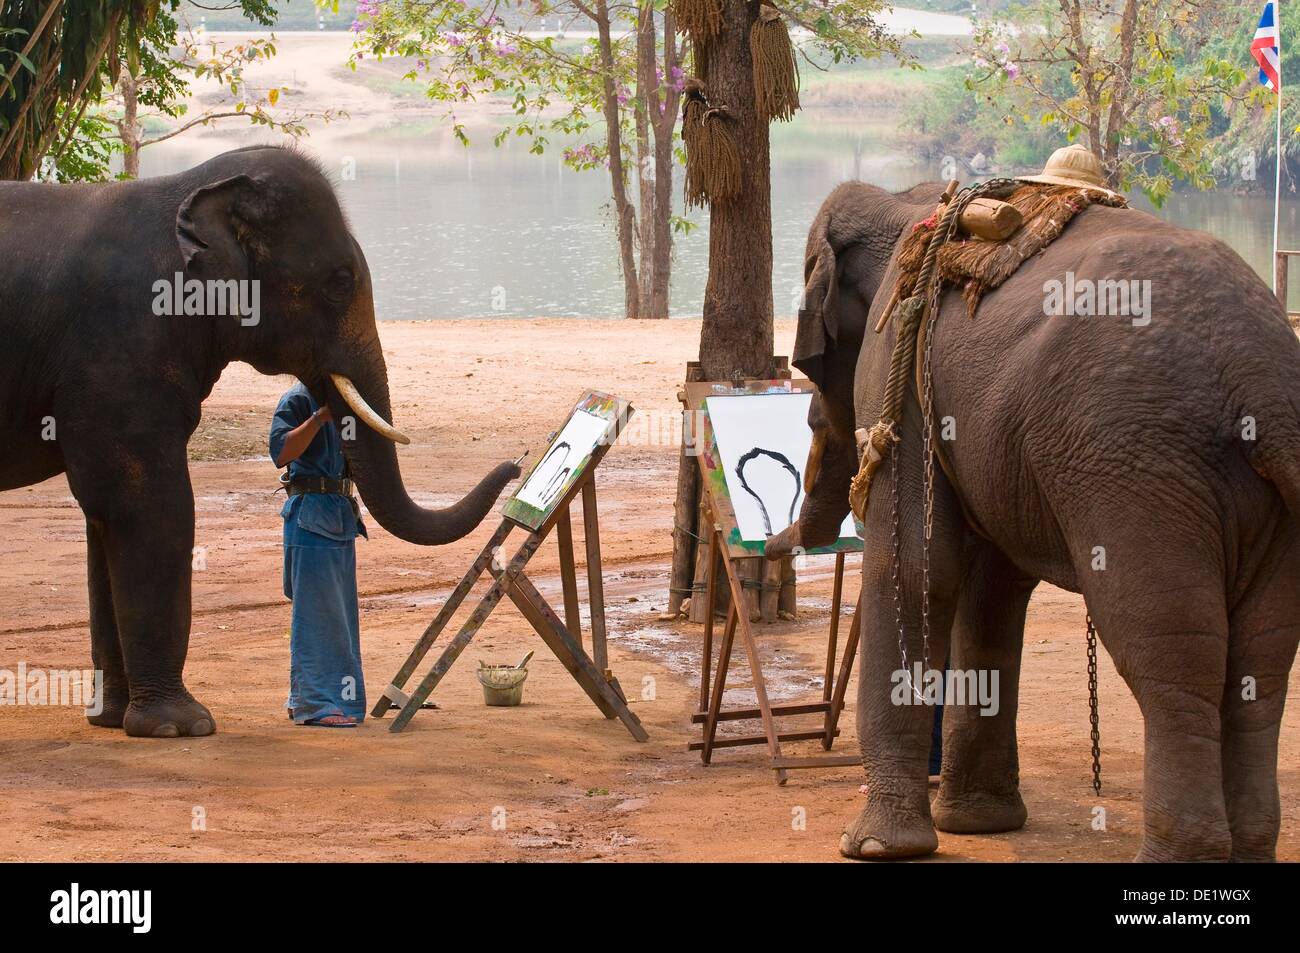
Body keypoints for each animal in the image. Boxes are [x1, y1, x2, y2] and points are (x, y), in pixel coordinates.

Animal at [0, 146, 520, 738]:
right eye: (339, 282)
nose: (517, 463)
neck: (186, 193)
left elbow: (103, 516)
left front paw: (114, 722)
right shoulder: (121, 347)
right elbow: (148, 505)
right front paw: (181, 727)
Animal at [767, 180, 1300, 862]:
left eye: (810, 388)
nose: (771, 545)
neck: (903, 202)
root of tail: (1262, 378)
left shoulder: (900, 365)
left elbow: (915, 565)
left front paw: (874, 847)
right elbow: (989, 589)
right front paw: (979, 824)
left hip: (1138, 467)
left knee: (1171, 655)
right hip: (1266, 501)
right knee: (1262, 662)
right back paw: (1249, 850)